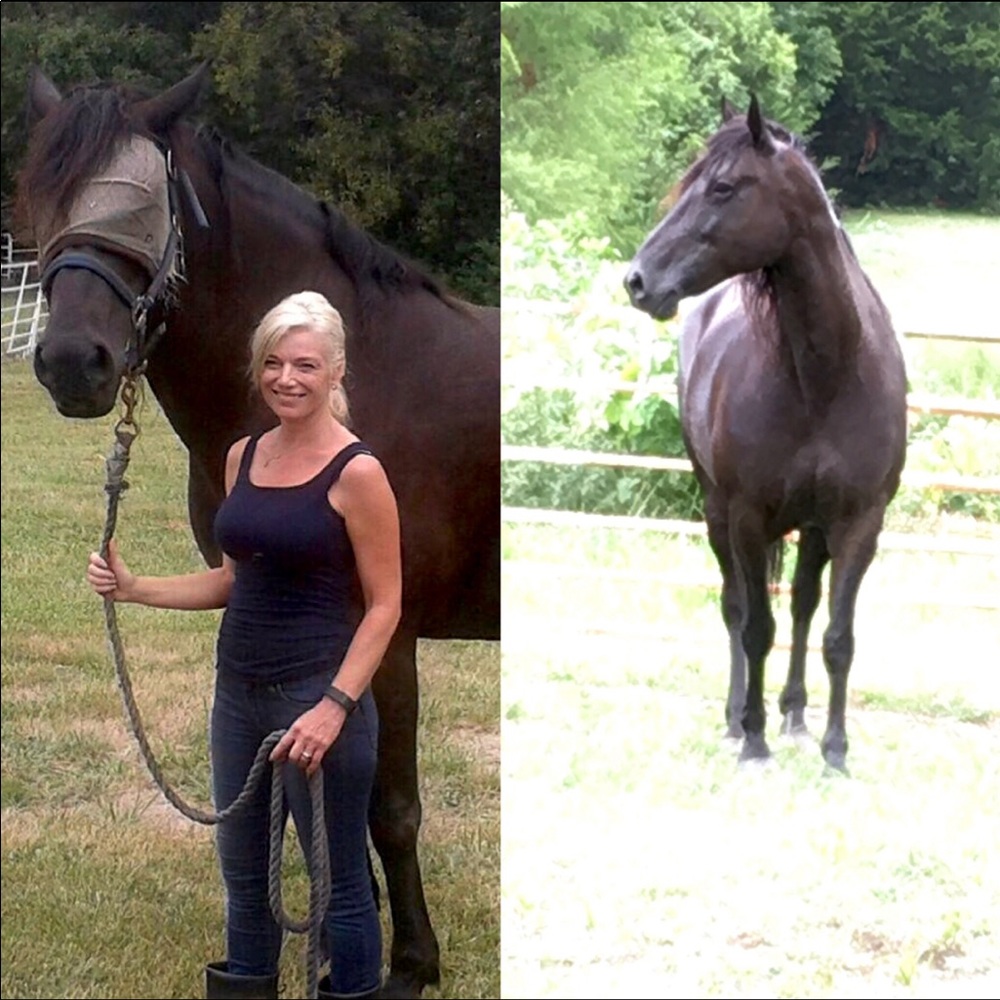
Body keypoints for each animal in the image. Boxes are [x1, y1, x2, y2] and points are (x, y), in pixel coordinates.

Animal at [16, 63, 499, 998]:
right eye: (44, 201)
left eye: (145, 205)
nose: (71, 363)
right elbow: (306, 812)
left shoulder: (386, 637)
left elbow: (389, 808)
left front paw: (410, 966)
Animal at [624, 97, 907, 772]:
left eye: (723, 187)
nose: (638, 280)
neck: (826, 377)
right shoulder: (748, 516)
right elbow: (755, 627)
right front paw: (753, 743)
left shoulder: (859, 522)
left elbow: (836, 636)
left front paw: (835, 750)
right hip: (717, 511)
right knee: (736, 606)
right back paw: (736, 720)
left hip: (812, 527)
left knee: (803, 604)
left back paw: (796, 716)